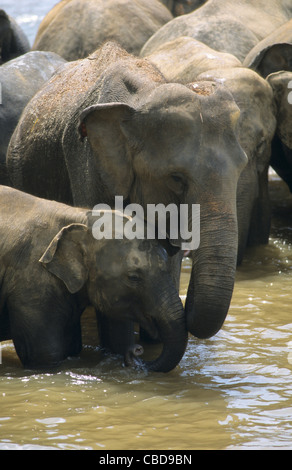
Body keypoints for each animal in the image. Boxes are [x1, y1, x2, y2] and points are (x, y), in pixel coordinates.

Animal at [0, 185, 187, 372]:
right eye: (134, 278)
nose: (136, 350)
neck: (80, 217)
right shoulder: (32, 290)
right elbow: (45, 355)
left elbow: (72, 346)